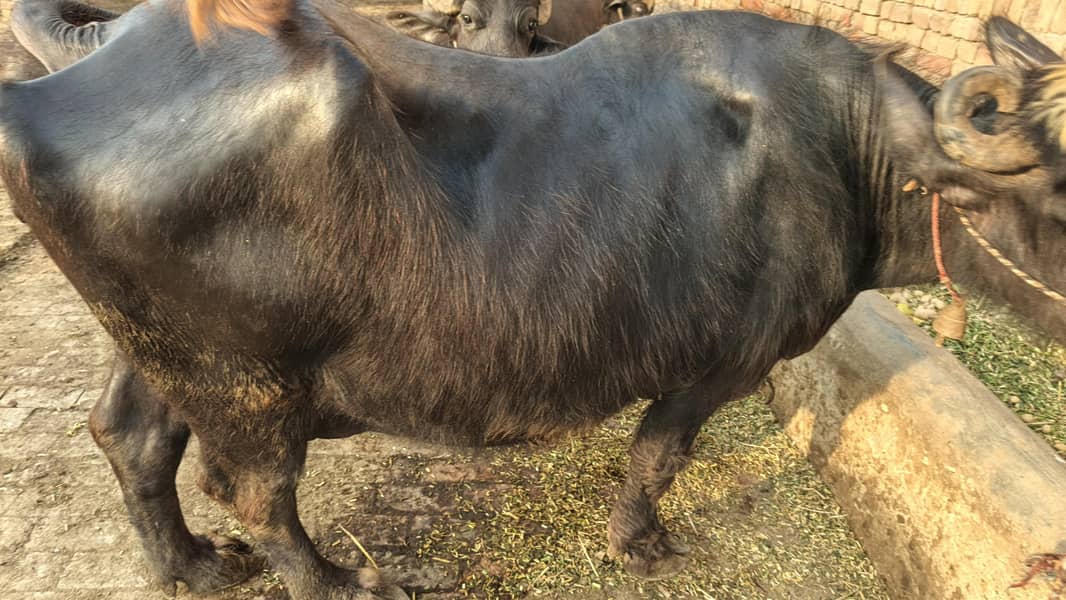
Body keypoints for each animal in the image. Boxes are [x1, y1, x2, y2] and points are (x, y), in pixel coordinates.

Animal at [0, 0, 1063, 598]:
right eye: (1054, 196)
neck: (851, 149)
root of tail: (82, 59)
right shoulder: (716, 367)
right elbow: (659, 459)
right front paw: (644, 546)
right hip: (249, 387)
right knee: (254, 491)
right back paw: (344, 581)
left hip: (155, 353)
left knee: (130, 438)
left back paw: (193, 567)